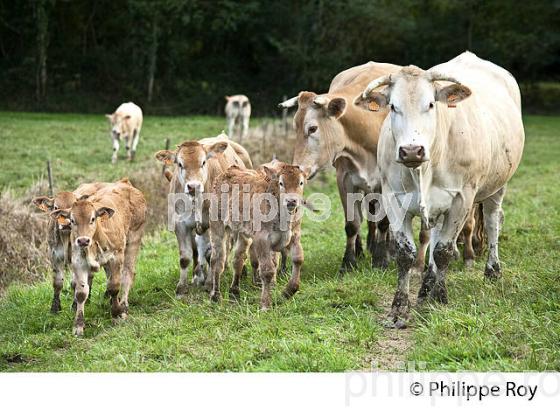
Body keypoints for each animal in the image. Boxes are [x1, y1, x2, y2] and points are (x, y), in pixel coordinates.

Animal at [34, 181, 111, 312]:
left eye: (72, 207)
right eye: (56, 208)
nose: (66, 224)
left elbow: (75, 283)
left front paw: (75, 305)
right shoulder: (53, 256)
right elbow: (57, 282)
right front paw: (55, 307)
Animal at [50, 179, 147, 336]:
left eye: (92, 219)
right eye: (72, 220)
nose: (83, 241)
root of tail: (124, 182)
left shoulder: (116, 257)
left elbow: (114, 286)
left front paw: (117, 312)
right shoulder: (78, 262)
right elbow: (81, 293)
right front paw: (78, 326)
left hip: (134, 240)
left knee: (127, 274)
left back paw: (124, 305)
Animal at [208, 162, 308, 310]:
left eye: (301, 182)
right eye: (281, 183)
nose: (291, 201)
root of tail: (229, 170)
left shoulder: (294, 236)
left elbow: (298, 259)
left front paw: (288, 291)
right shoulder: (262, 240)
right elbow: (267, 270)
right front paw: (265, 304)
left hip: (243, 234)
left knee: (238, 259)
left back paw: (234, 292)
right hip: (217, 227)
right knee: (217, 260)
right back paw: (215, 296)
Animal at [280, 61, 434, 272]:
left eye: (312, 128)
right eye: (294, 127)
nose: (299, 168)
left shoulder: (385, 184)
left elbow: (384, 222)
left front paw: (381, 259)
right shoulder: (344, 180)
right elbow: (352, 224)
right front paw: (349, 261)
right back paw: (363, 248)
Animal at [354, 51, 524, 328]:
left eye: (431, 104)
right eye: (393, 106)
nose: (412, 150)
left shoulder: (462, 199)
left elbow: (444, 251)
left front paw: (440, 299)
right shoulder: (393, 199)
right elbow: (406, 253)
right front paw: (399, 309)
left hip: (498, 186)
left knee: (492, 222)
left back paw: (492, 271)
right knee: (434, 237)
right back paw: (425, 288)